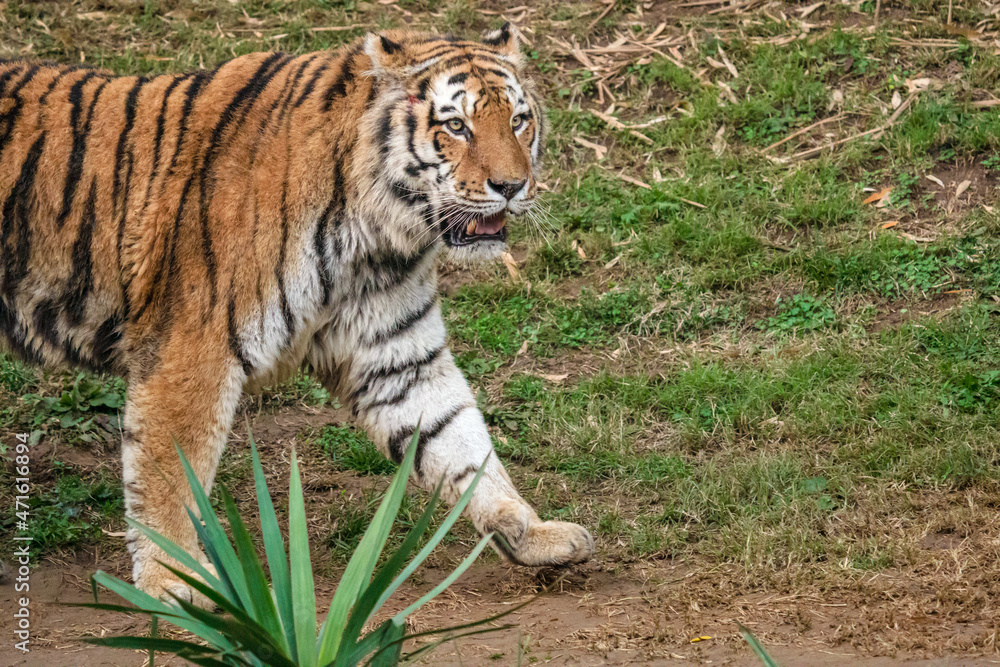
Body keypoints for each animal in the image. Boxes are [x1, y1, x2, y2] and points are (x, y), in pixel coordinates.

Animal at [0, 23, 594, 605]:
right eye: (456, 126)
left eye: (518, 121)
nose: (512, 186)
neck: (375, 236)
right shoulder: (191, 351)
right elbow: (171, 471)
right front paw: (173, 578)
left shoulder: (396, 355)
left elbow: (460, 441)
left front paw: (531, 532)